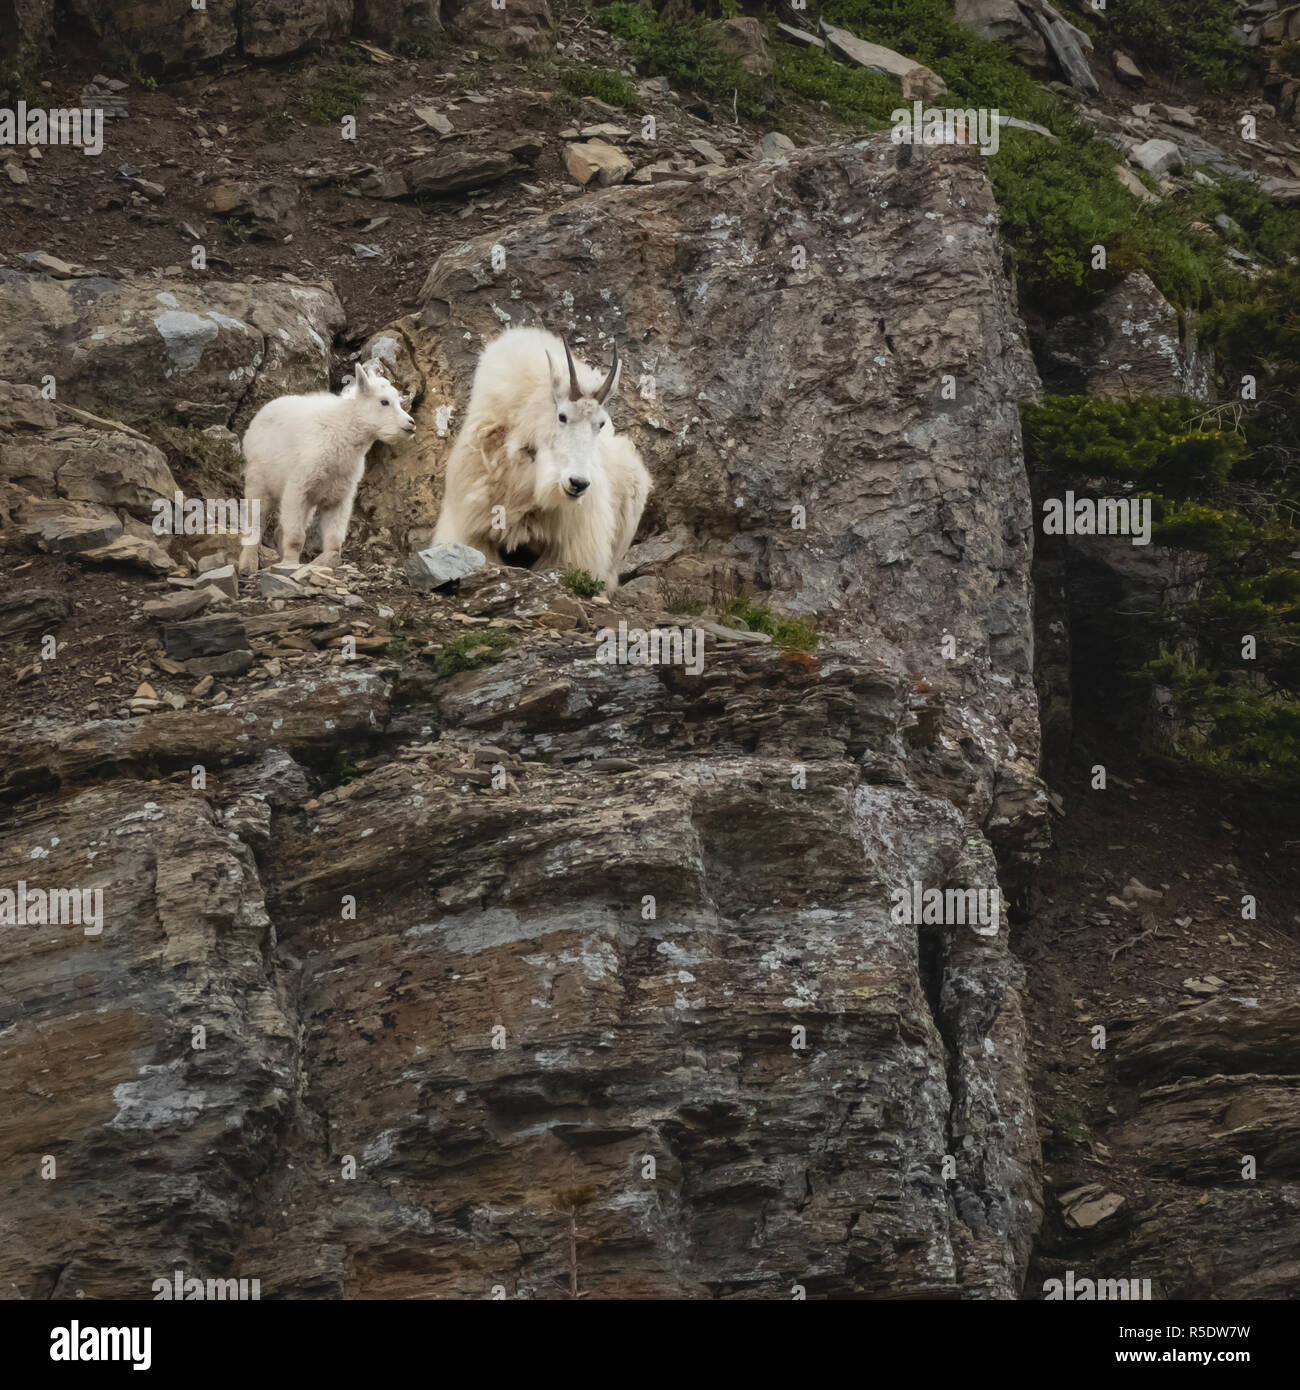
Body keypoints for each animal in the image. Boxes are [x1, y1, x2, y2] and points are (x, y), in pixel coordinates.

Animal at [237, 361, 415, 574]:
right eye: (384, 402)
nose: (411, 424)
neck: (342, 434)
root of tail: (257, 418)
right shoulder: (298, 487)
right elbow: (296, 536)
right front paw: (291, 564)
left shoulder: (338, 497)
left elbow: (334, 541)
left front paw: (323, 563)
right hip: (258, 482)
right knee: (255, 520)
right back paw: (247, 564)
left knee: (279, 530)